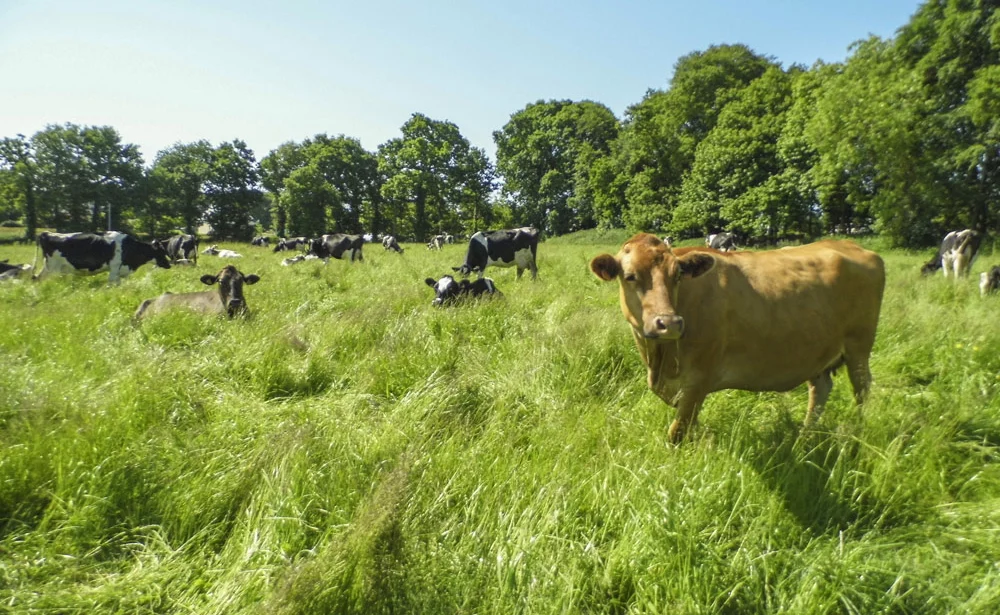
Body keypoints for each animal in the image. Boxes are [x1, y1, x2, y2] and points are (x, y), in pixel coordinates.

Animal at [35, 231, 172, 284]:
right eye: (161, 252)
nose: (169, 264)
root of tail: (46, 233)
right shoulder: (114, 268)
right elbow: (111, 283)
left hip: (48, 268)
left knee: (38, 279)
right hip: (53, 269)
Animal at [584, 235, 884, 442]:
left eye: (677, 275)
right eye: (630, 276)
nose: (668, 323)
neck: (659, 360)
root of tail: (848, 244)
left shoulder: (698, 380)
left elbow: (677, 433)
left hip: (859, 347)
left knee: (862, 389)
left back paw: (857, 430)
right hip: (817, 352)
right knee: (820, 390)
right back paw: (805, 435)